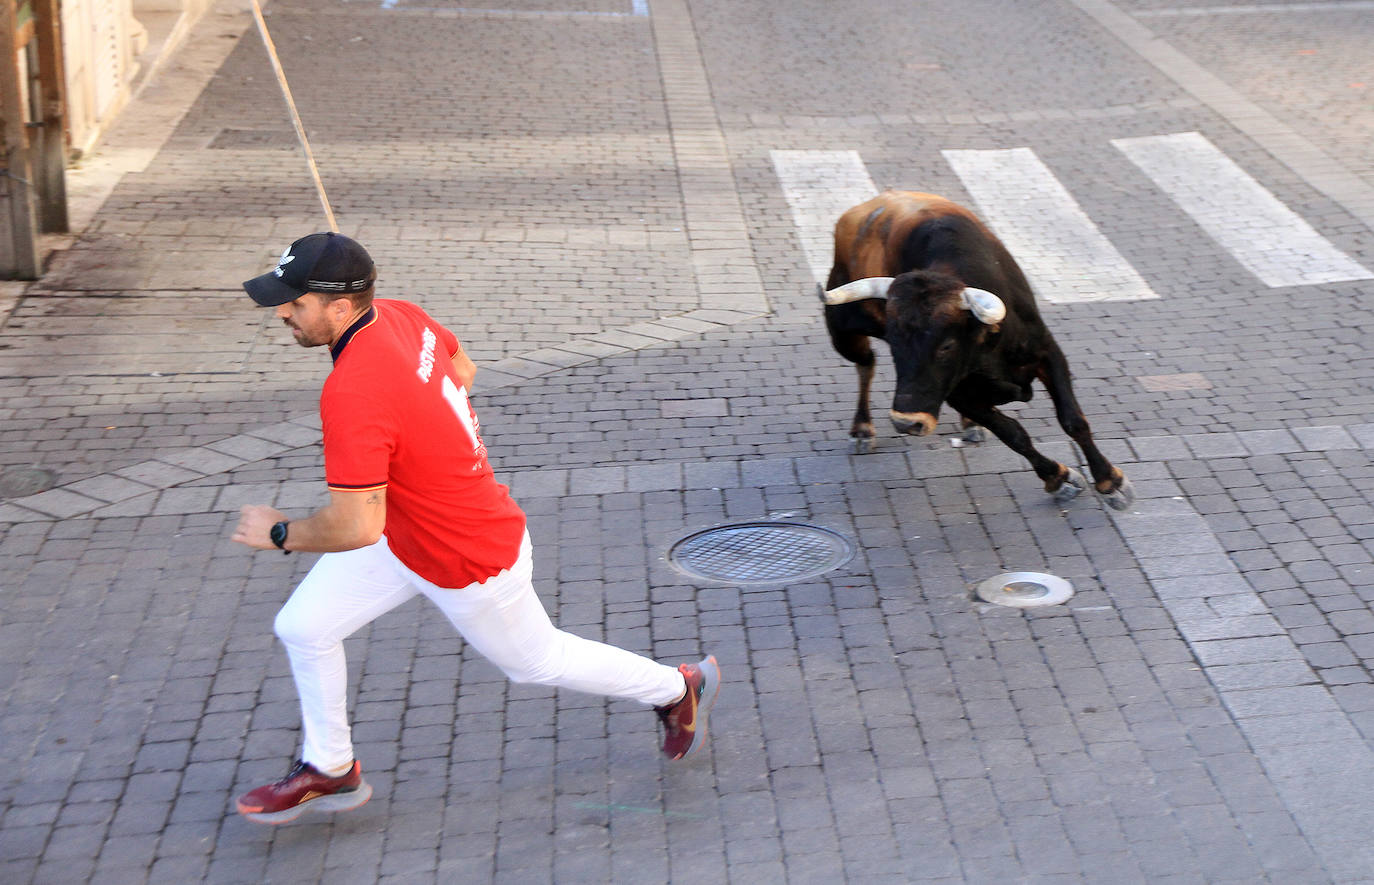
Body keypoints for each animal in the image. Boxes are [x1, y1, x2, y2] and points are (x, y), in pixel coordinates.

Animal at [818, 192, 1132, 511]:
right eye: (894, 341)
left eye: (946, 345)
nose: (906, 422)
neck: (988, 349)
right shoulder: (957, 394)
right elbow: (1013, 434)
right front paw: (1060, 479)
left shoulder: (1047, 351)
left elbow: (1073, 420)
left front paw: (1110, 482)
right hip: (842, 333)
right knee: (865, 363)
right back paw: (861, 429)